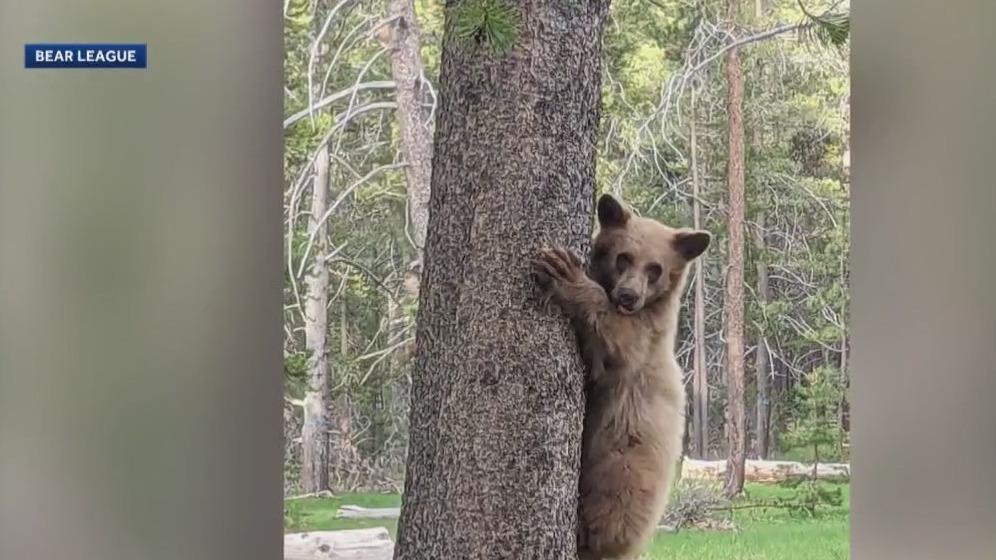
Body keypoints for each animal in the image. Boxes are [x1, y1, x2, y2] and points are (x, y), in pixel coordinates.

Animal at [531, 193, 711, 560]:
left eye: (655, 269)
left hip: (622, 468)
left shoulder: (645, 339)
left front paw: (564, 271)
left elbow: (617, 337)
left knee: (609, 512)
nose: (629, 296)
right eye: (623, 258)